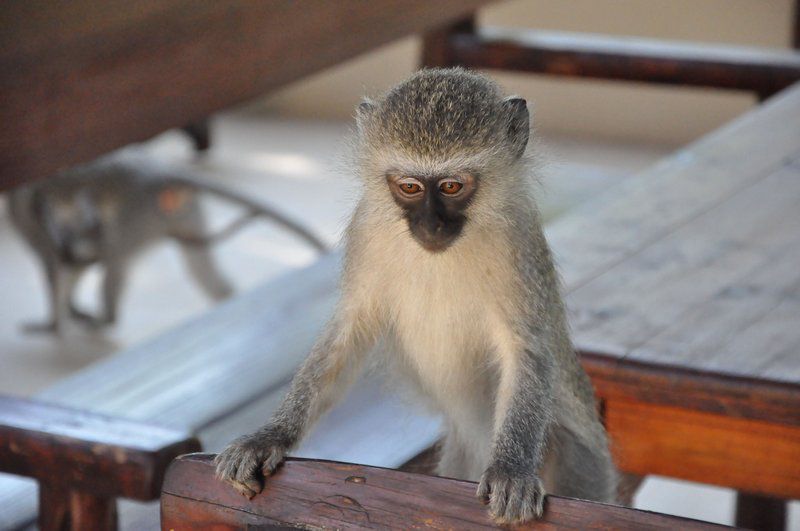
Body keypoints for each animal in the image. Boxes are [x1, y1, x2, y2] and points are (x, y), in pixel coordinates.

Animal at [7, 151, 326, 332]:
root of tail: (158, 174)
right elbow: (74, 258)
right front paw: (71, 307)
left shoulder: (31, 219)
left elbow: (58, 265)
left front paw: (55, 321)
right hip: (186, 215)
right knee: (200, 265)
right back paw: (227, 296)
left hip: (138, 214)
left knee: (115, 256)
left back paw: (106, 318)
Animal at [216, 67, 616, 524]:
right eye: (409, 186)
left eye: (451, 186)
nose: (430, 224)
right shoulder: (367, 226)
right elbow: (348, 334)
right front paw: (272, 435)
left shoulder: (518, 239)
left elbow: (526, 347)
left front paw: (511, 469)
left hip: (584, 467)